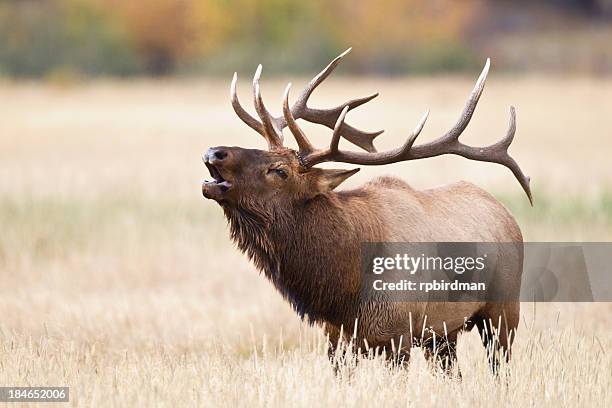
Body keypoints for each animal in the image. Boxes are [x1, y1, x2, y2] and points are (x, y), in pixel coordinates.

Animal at [201, 48, 532, 372]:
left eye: (280, 170)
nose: (214, 152)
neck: (344, 292)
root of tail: (507, 215)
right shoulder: (336, 340)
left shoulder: (398, 335)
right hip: (442, 333)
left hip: (504, 310)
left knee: (500, 367)